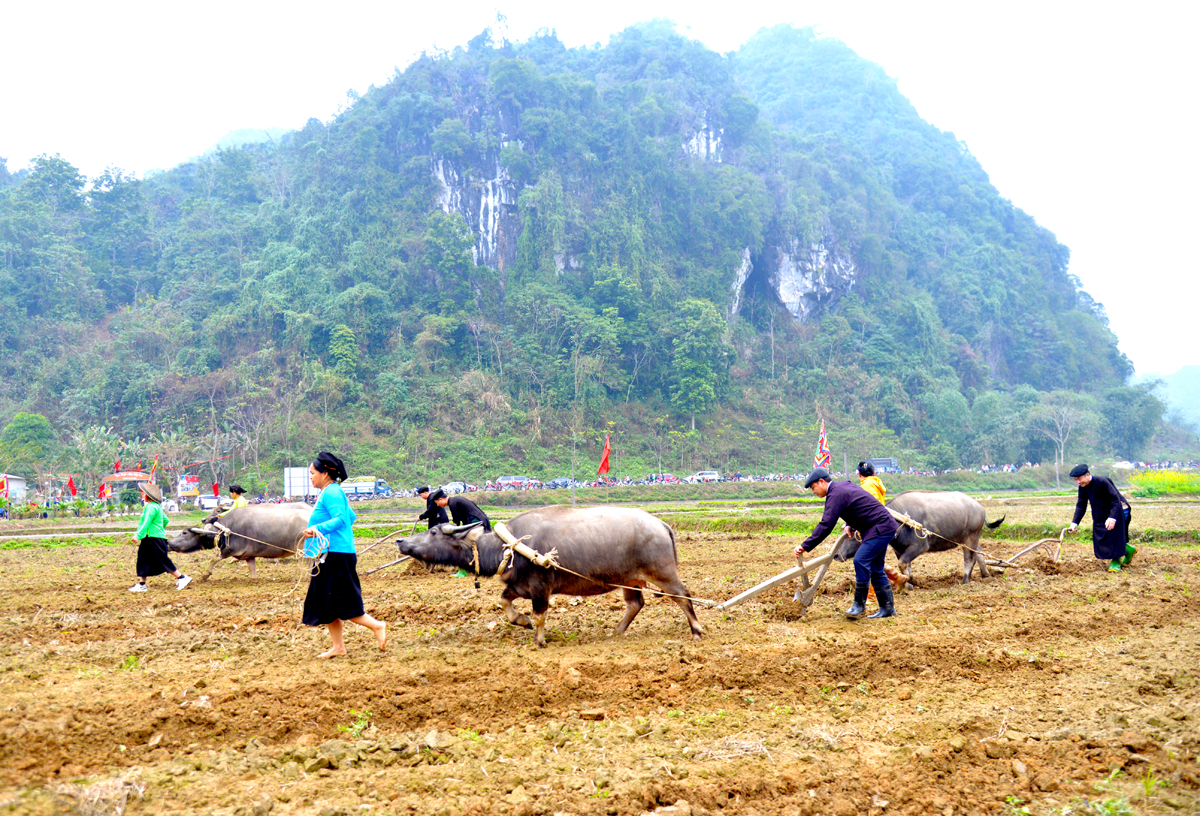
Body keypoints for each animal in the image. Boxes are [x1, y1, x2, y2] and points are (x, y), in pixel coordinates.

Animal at [169, 504, 312, 580]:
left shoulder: (229, 549)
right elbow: (252, 569)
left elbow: (214, 558)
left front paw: (205, 574)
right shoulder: (249, 556)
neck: (226, 529)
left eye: (185, 533)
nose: (169, 544)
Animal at [396, 504, 700, 648]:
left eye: (433, 532)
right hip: (629, 579)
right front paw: (522, 621)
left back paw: (696, 630)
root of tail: (660, 524)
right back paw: (615, 632)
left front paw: (539, 639)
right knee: (636, 604)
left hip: (662, 571)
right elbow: (504, 603)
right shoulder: (519, 585)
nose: (401, 541)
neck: (509, 547)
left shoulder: (541, 586)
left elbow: (541, 614)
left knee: (683, 596)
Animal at [840, 492, 1008, 585]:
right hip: (969, 539)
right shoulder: (899, 550)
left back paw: (965, 580)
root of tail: (980, 508)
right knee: (978, 552)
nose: (837, 555)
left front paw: (909, 582)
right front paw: (910, 581)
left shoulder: (919, 546)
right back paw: (985, 574)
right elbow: (905, 565)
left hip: (970, 537)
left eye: (853, 536)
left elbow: (902, 564)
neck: (899, 521)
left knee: (969, 558)